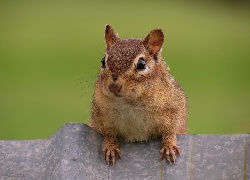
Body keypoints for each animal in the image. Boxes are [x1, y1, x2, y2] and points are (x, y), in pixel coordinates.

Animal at [87, 24, 187, 166]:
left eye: (141, 64)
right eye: (102, 61)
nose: (114, 86)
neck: (129, 101)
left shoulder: (174, 107)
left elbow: (171, 129)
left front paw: (169, 145)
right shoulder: (101, 115)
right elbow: (108, 133)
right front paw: (111, 146)